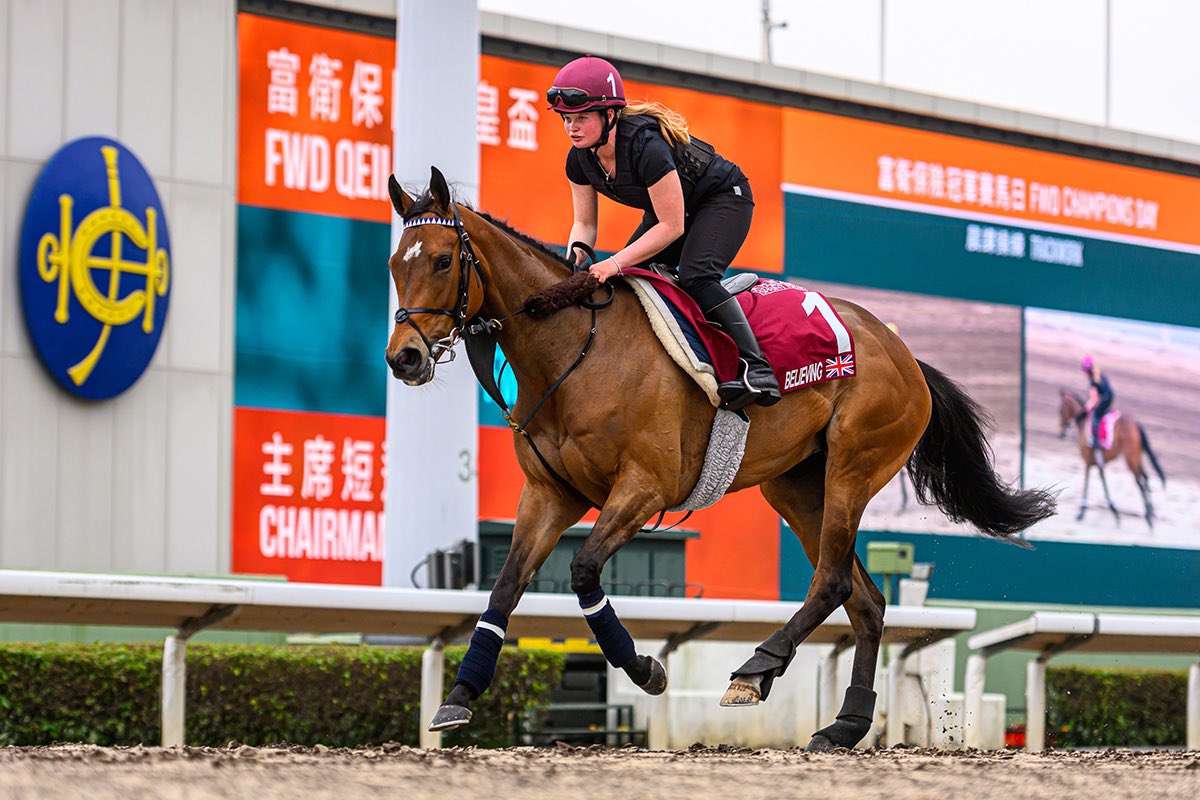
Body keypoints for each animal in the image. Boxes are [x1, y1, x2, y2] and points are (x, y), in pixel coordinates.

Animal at [384, 169, 1051, 753]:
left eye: (442, 260)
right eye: (396, 264)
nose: (404, 358)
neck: (575, 350)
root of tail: (903, 350)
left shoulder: (644, 488)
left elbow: (584, 572)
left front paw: (645, 668)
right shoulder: (550, 494)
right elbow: (504, 587)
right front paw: (459, 696)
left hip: (854, 465)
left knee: (833, 579)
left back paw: (755, 671)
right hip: (795, 485)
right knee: (864, 598)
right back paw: (845, 725)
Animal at [1060, 391, 1161, 527]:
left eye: (1060, 410)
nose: (1061, 434)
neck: (1083, 422)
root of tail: (1135, 425)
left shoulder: (1088, 461)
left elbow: (1087, 481)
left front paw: (1082, 511)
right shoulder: (1098, 462)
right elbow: (1103, 481)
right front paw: (1114, 511)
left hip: (1130, 460)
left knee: (1140, 483)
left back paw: (1149, 519)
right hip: (1136, 458)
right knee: (1145, 478)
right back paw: (1151, 512)